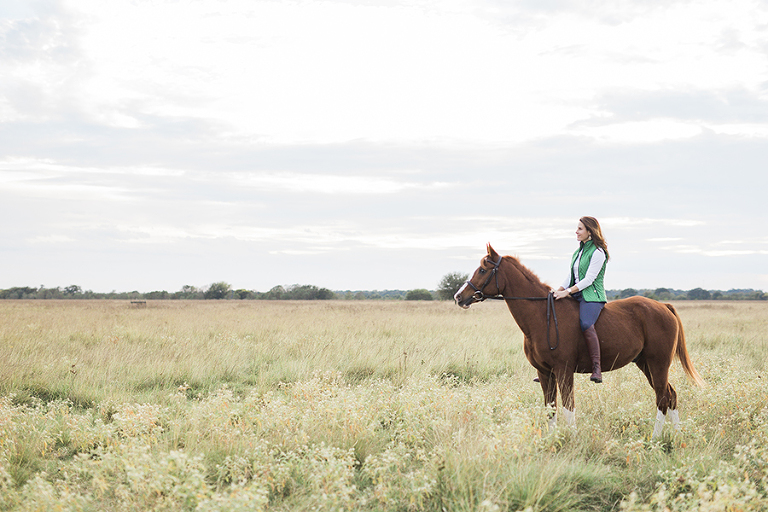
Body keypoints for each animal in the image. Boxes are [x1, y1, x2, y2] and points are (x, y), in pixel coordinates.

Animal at [454, 244, 704, 438]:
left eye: (483, 269)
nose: (458, 297)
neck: (543, 316)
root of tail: (663, 306)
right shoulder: (545, 373)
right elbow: (551, 409)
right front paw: (552, 441)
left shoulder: (564, 370)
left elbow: (568, 408)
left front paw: (572, 441)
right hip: (646, 364)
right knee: (671, 396)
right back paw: (678, 437)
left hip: (658, 364)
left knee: (663, 398)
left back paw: (654, 440)